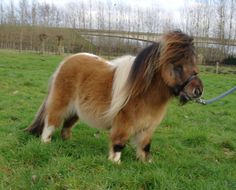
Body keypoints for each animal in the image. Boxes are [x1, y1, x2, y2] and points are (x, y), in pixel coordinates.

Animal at [25, 30, 203, 163]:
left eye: (194, 63)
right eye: (177, 65)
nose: (198, 91)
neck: (144, 93)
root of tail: (67, 61)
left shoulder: (148, 127)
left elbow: (145, 145)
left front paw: (146, 162)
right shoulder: (123, 122)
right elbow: (119, 142)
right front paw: (115, 161)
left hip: (77, 110)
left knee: (67, 125)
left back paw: (68, 141)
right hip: (61, 103)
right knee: (51, 121)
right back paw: (46, 142)